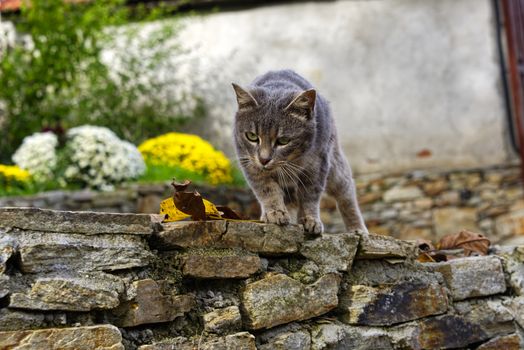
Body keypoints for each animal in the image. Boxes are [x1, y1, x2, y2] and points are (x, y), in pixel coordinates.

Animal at [231, 69, 366, 234]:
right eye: (252, 136)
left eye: (283, 140)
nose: (264, 159)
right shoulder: (250, 164)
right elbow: (267, 189)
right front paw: (275, 212)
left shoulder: (317, 166)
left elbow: (310, 196)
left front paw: (310, 220)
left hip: (335, 167)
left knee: (347, 191)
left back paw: (357, 229)